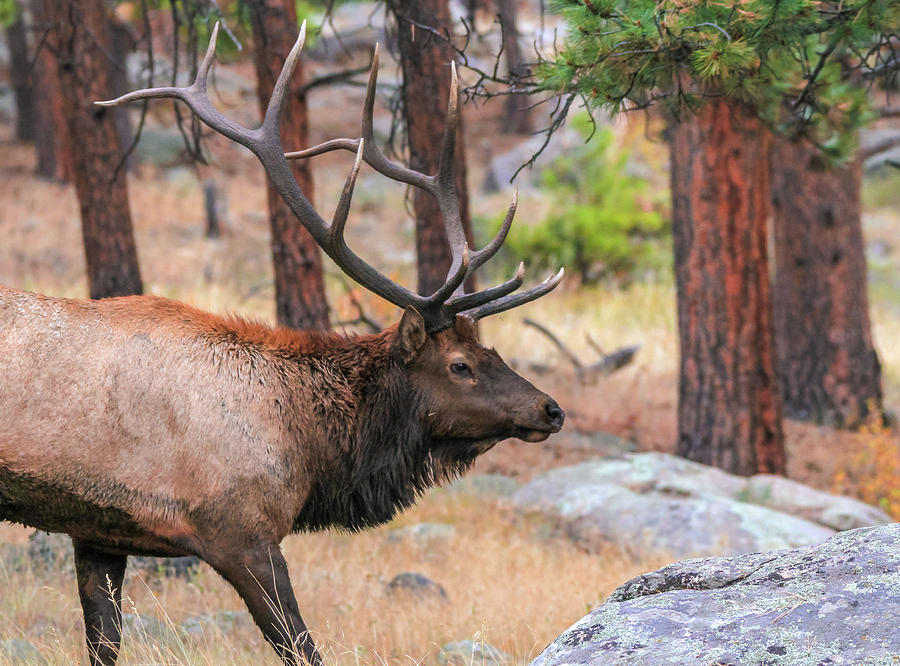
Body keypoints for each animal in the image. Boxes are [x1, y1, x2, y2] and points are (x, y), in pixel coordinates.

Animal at [0, 22, 564, 664]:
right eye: (460, 365)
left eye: (491, 352)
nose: (551, 409)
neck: (309, 452)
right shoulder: (241, 532)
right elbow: (300, 645)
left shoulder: (97, 531)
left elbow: (104, 643)